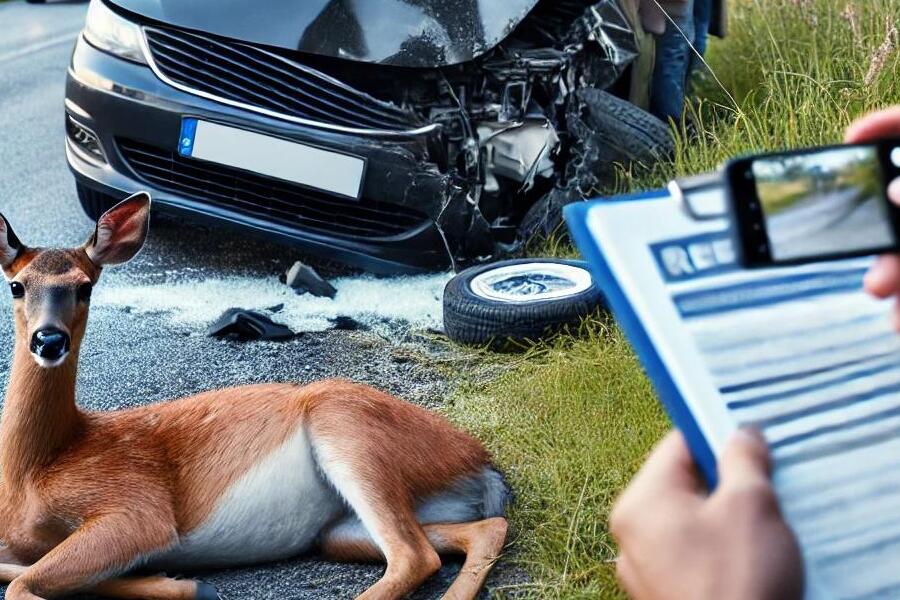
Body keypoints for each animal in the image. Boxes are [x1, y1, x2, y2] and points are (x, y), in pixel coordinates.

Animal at [0, 193, 510, 600]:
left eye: (85, 287)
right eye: (17, 285)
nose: (49, 340)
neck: (35, 469)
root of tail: (483, 463)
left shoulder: (138, 507)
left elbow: (22, 583)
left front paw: (188, 585)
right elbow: (16, 571)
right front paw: (184, 584)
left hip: (348, 430)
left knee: (413, 556)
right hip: (341, 528)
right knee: (482, 529)